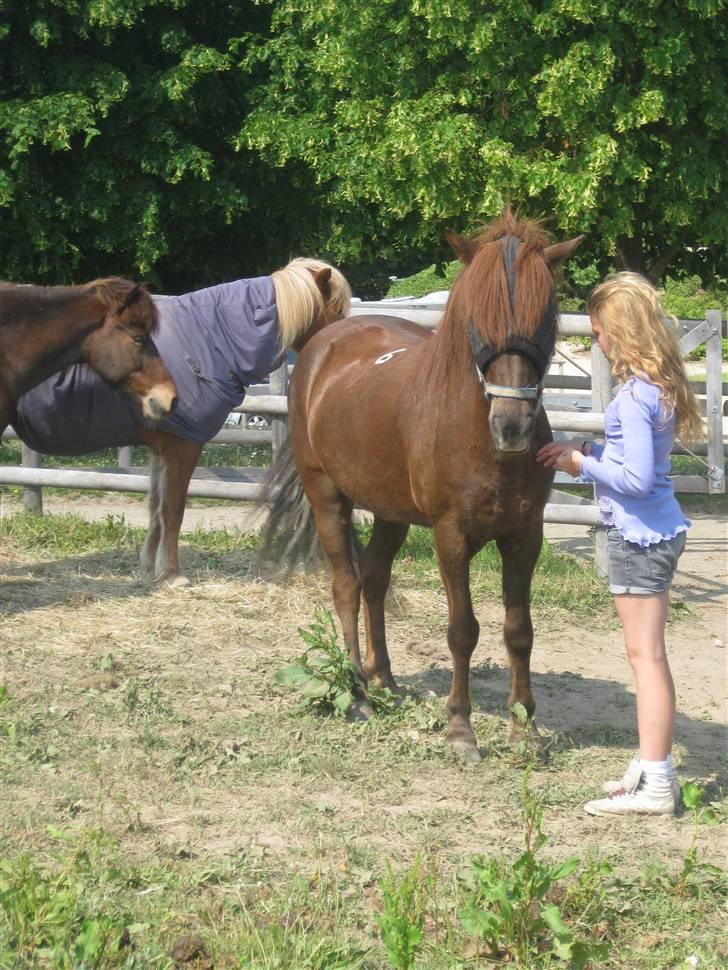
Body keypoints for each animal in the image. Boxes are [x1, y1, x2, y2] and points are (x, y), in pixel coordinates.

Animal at [264, 216, 584, 760]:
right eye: (476, 320)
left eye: (545, 316)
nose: (512, 426)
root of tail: (322, 342)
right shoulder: (450, 536)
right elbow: (462, 630)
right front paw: (460, 730)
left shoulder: (525, 535)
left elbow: (519, 631)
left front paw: (524, 729)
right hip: (327, 496)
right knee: (346, 586)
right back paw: (356, 692)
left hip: (391, 514)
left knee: (374, 581)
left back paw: (384, 682)